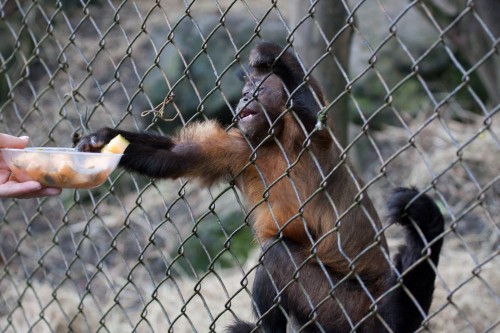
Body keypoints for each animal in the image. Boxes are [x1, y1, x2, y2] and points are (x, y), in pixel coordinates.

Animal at [78, 42, 446, 330]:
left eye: (255, 92)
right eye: (243, 96)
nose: (242, 101)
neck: (276, 141)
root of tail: (380, 308)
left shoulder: (310, 139)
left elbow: (313, 110)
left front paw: (273, 57)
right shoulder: (242, 147)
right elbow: (177, 157)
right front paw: (101, 141)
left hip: (349, 311)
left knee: (276, 254)